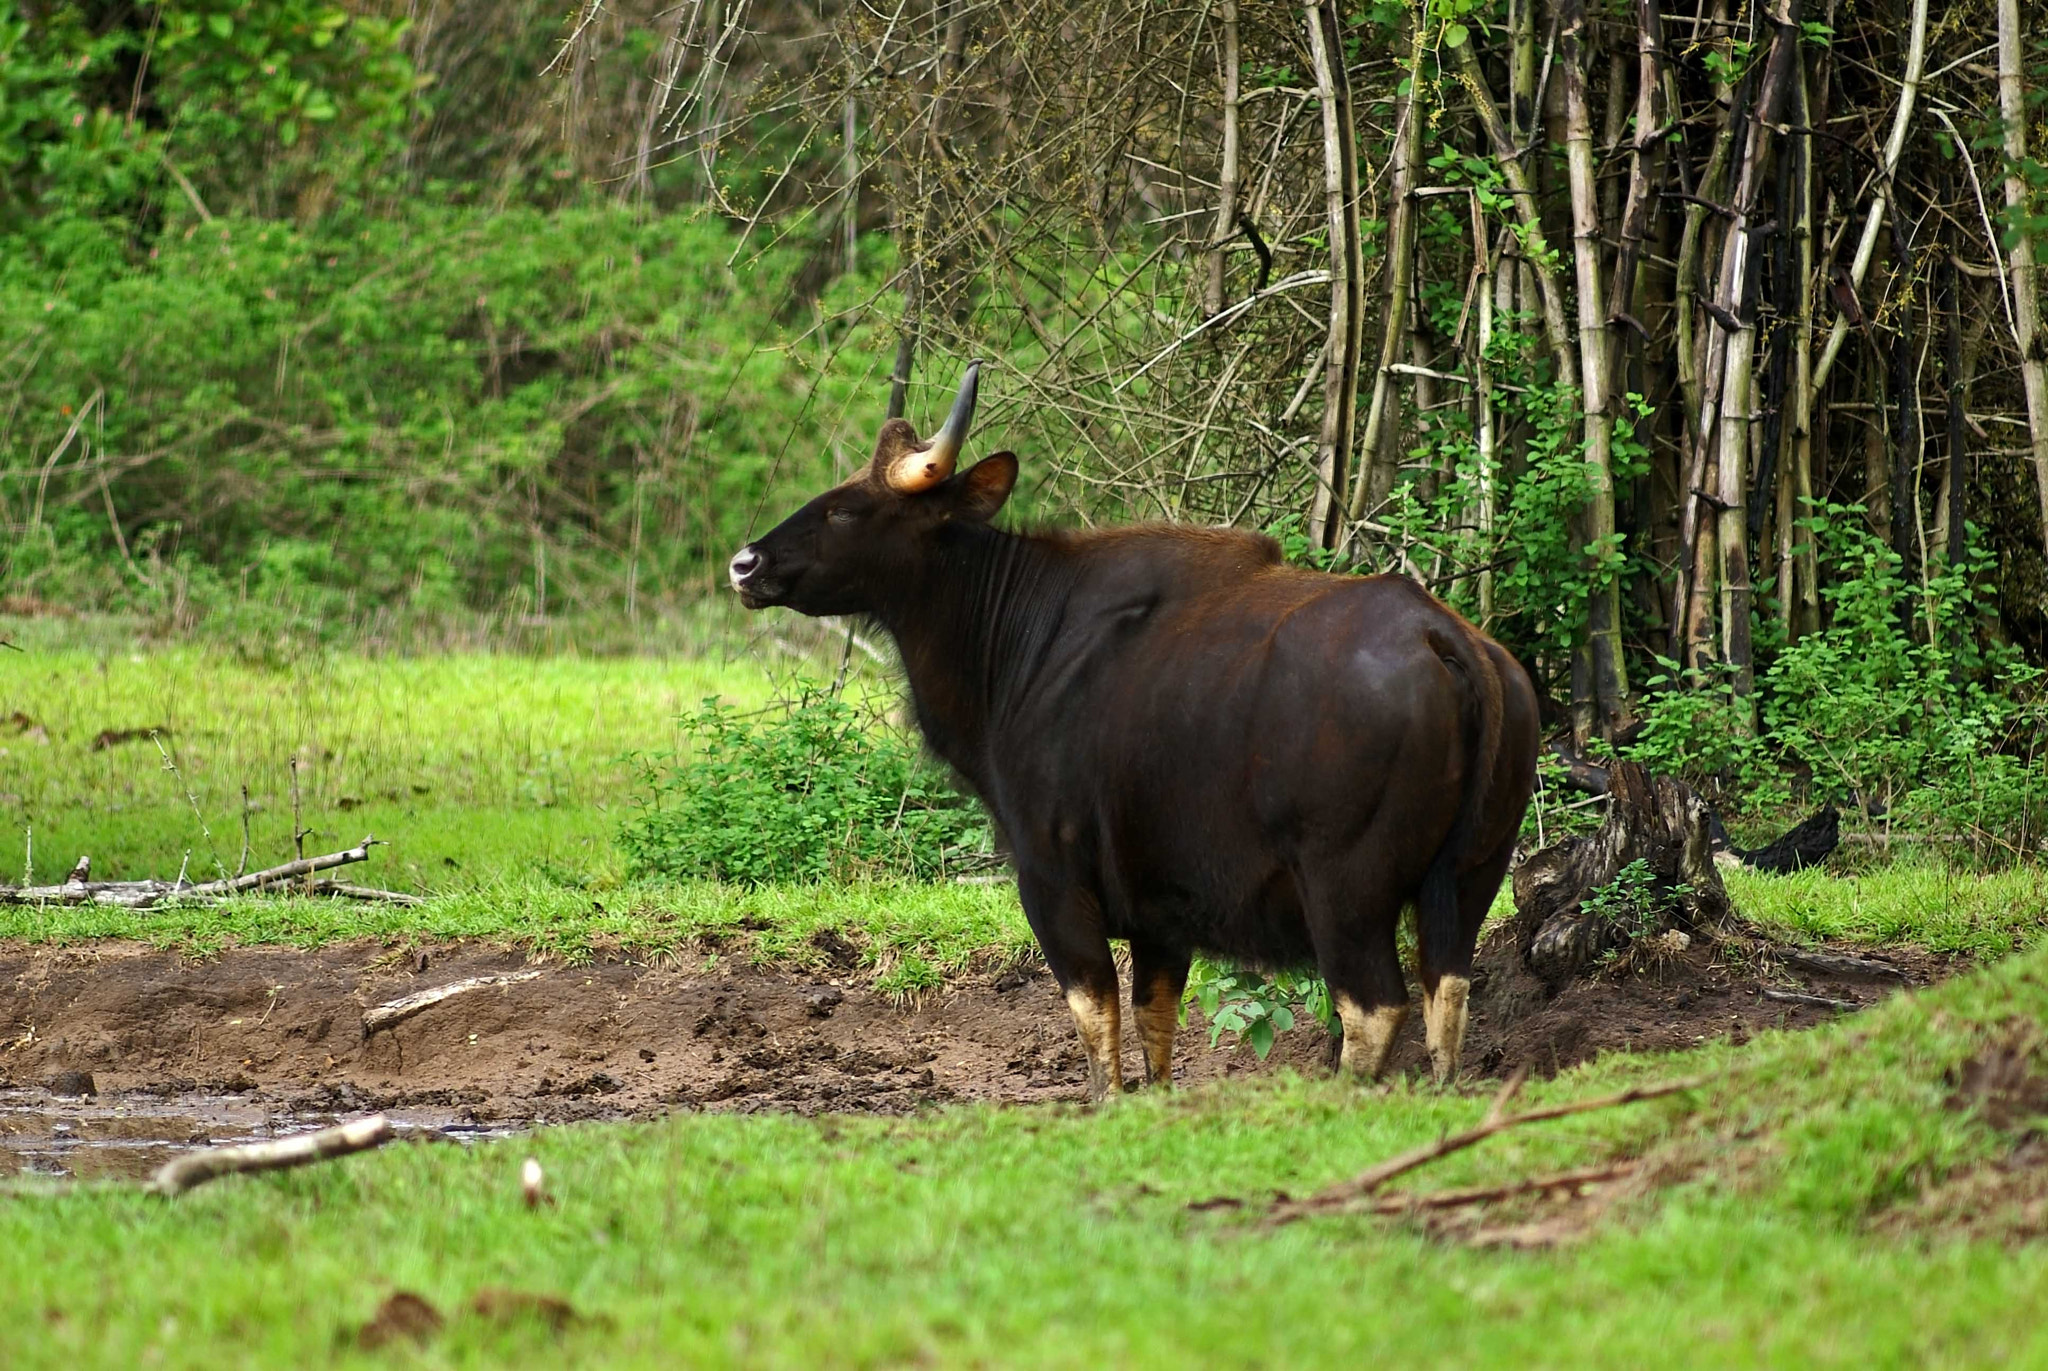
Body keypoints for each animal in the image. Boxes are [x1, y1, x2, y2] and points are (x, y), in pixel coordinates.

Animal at [729, 362, 1531, 1098]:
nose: (745, 563)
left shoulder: (1052, 880)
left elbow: (1096, 1020)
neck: (1021, 640)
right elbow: (1155, 1024)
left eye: (847, 510)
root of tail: (1448, 642)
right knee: (1446, 994)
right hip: (1469, 875)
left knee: (1373, 1007)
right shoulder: (1161, 914)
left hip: (1346, 886)